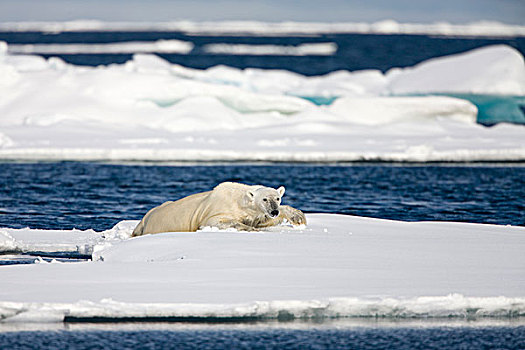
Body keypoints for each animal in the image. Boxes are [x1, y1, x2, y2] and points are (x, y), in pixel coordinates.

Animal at [132, 182, 308, 237]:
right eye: (265, 199)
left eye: (277, 198)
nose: (274, 211)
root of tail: (143, 221)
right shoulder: (215, 210)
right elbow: (216, 221)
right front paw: (251, 229)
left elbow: (262, 220)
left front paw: (298, 217)